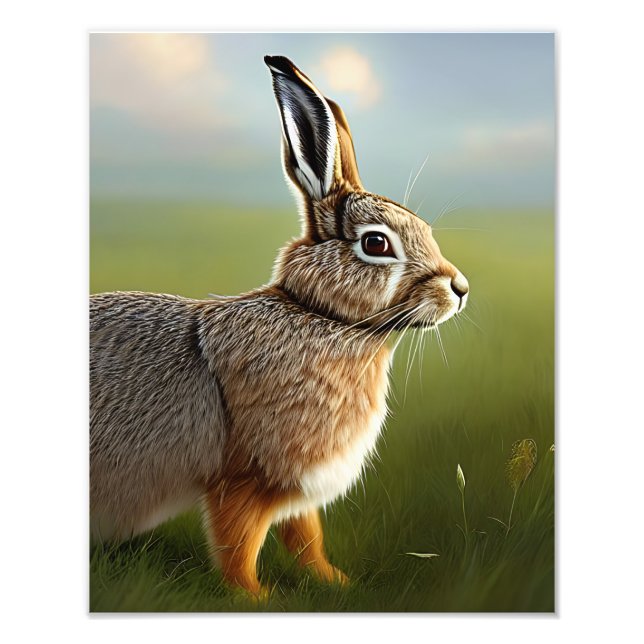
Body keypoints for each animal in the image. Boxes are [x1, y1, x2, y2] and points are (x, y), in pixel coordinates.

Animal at [90, 54, 470, 596]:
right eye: (376, 244)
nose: (460, 289)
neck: (318, 315)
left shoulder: (300, 490)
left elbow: (306, 537)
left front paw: (337, 582)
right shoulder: (246, 478)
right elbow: (238, 543)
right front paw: (254, 597)